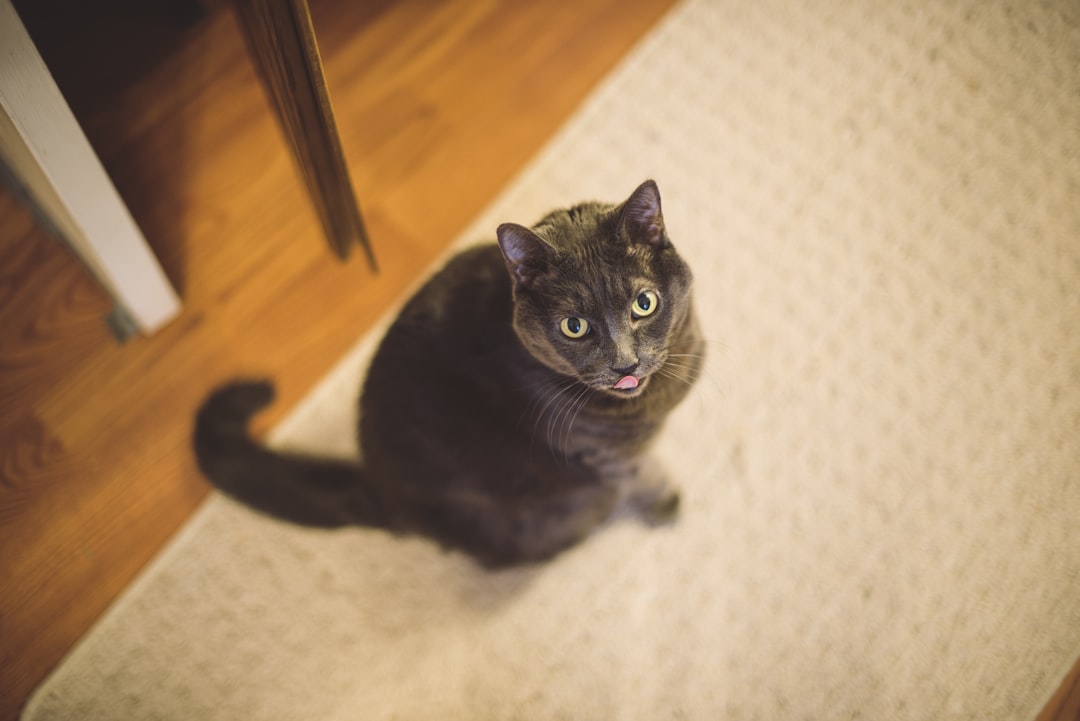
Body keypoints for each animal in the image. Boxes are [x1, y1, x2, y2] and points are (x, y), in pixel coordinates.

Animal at [197, 180, 704, 569]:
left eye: (644, 303)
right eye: (574, 327)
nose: (625, 364)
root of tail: (380, 487)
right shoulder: (606, 454)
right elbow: (644, 473)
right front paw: (665, 501)